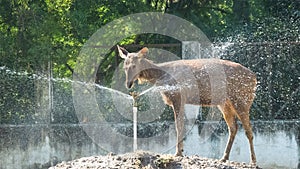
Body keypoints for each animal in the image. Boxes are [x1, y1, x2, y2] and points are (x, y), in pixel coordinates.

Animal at [117, 44, 258, 164]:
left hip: (242, 99)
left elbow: (178, 125)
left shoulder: (178, 97)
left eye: (134, 65)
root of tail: (255, 77)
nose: (128, 84)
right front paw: (181, 151)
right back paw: (224, 157)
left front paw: (178, 152)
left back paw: (253, 161)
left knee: (248, 130)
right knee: (233, 127)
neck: (161, 76)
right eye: (125, 66)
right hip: (225, 103)